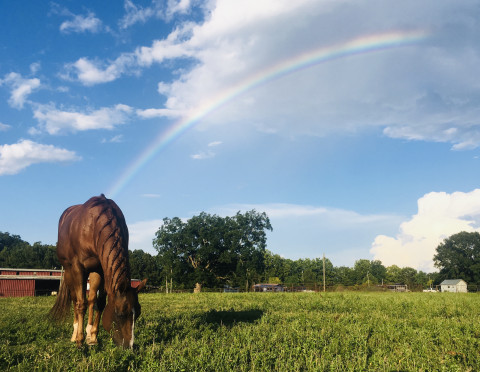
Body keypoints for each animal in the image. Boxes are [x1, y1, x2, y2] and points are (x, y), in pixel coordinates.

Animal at [49, 195, 147, 348]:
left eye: (138, 313)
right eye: (120, 314)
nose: (129, 346)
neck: (94, 225)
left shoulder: (101, 269)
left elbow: (99, 303)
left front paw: (93, 337)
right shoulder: (78, 268)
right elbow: (80, 303)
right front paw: (80, 341)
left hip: (94, 272)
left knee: (91, 299)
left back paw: (89, 333)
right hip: (70, 271)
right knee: (75, 300)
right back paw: (75, 334)